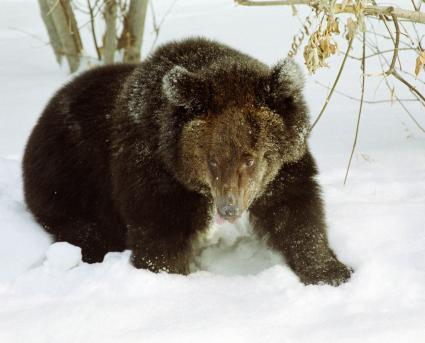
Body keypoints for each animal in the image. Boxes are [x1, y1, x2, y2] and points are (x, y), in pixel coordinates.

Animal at [22, 37, 352, 284]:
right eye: (212, 160)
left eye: (249, 158)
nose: (229, 208)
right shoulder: (156, 175)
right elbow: (161, 237)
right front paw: (168, 274)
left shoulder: (283, 171)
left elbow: (296, 214)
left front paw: (330, 270)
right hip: (69, 184)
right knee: (86, 232)